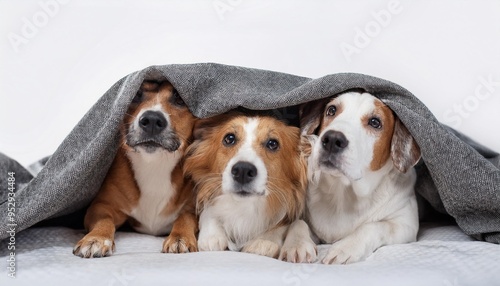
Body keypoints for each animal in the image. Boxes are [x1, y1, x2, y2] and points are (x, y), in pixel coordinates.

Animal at [73, 81, 198, 260]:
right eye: (136, 94)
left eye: (179, 98)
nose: (152, 119)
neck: (154, 166)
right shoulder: (100, 206)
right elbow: (104, 219)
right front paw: (96, 238)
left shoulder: (195, 208)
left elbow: (185, 218)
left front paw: (180, 237)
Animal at [282, 90, 422, 264]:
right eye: (331, 110)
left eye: (375, 122)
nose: (332, 139)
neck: (343, 193)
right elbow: (298, 222)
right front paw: (297, 243)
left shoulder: (406, 224)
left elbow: (374, 226)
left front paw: (346, 247)